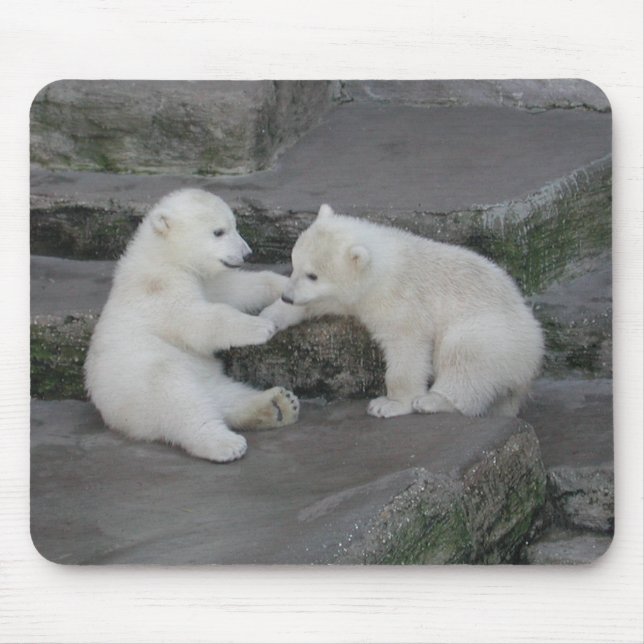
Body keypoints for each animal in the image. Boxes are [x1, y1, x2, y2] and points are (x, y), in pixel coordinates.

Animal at [85, 188, 299, 463]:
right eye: (218, 231)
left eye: (234, 225)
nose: (247, 253)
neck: (162, 254)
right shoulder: (159, 289)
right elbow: (194, 320)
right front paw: (261, 326)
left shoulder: (205, 279)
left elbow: (235, 289)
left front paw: (286, 284)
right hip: (141, 381)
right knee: (178, 398)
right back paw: (224, 443)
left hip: (205, 377)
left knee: (225, 395)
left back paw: (279, 405)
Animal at [260, 204, 544, 419]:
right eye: (294, 263)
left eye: (313, 275)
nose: (287, 296)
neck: (384, 264)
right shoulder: (354, 296)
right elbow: (324, 301)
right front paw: (269, 316)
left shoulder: (400, 299)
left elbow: (407, 346)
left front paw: (389, 404)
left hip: (494, 333)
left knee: (465, 355)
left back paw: (433, 401)